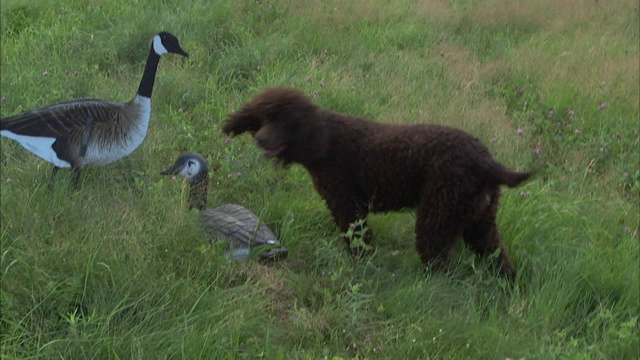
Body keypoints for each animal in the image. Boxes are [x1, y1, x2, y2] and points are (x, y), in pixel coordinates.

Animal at [222, 86, 532, 278]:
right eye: (263, 117)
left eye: (284, 120)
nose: (261, 139)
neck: (324, 140)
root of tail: (487, 162)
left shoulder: (346, 202)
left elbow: (358, 239)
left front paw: (360, 264)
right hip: (479, 221)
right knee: (499, 260)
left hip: (438, 215)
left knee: (438, 262)